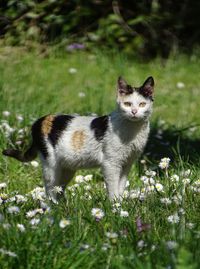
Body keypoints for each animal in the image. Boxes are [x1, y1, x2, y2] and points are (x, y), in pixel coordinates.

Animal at [2, 75, 155, 201]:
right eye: (127, 104)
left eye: (142, 104)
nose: (134, 111)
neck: (133, 131)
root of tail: (39, 121)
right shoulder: (111, 164)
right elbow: (113, 188)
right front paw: (115, 207)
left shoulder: (127, 164)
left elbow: (121, 186)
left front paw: (121, 204)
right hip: (51, 166)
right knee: (49, 190)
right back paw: (51, 209)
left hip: (67, 169)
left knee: (59, 190)